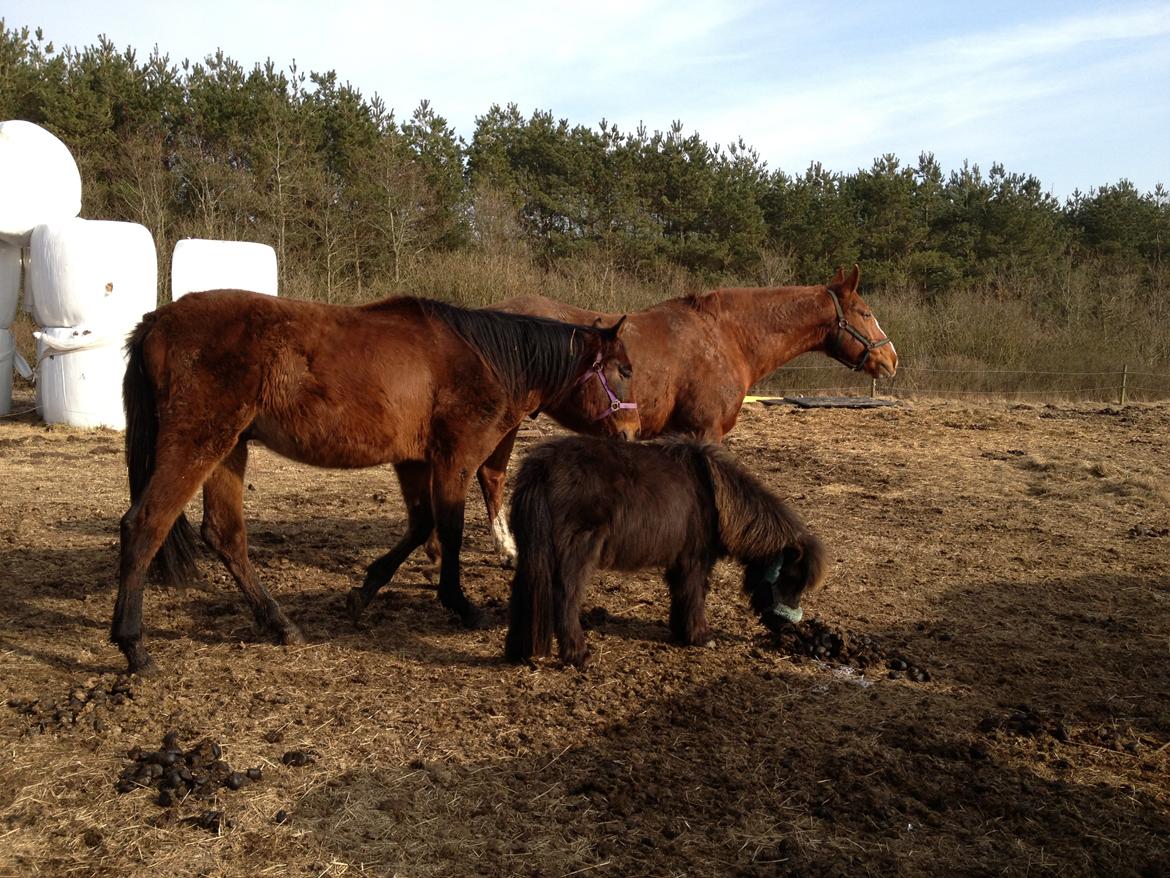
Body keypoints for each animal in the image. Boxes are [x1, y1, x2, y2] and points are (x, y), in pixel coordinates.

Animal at [110, 290, 641, 674]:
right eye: (624, 370)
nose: (633, 432)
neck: (483, 357)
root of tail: (156, 320)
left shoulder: (413, 461)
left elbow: (421, 526)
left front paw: (364, 589)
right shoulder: (453, 461)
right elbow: (448, 532)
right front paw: (461, 605)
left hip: (229, 448)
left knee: (224, 535)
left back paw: (279, 624)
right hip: (199, 442)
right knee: (146, 525)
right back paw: (133, 646)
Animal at [475, 263, 893, 564]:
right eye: (865, 312)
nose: (891, 359)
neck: (727, 337)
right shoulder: (705, 431)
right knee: (491, 476)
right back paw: (508, 549)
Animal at [507, 437, 828, 669]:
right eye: (790, 579)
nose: (784, 628)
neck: (715, 497)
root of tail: (541, 467)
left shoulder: (680, 562)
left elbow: (681, 594)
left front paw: (681, 631)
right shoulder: (694, 561)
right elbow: (694, 593)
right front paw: (700, 636)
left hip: (534, 551)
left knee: (525, 589)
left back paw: (521, 650)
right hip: (575, 555)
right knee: (565, 599)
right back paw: (579, 655)